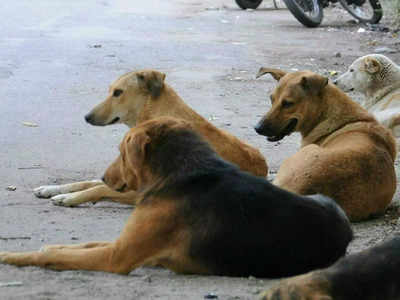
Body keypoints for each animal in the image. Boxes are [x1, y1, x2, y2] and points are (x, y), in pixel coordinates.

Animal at [0, 118, 352, 278]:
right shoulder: (123, 244)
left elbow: (50, 256)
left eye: (121, 152)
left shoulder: (117, 257)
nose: (105, 177)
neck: (183, 175)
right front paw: (47, 244)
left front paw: (12, 255)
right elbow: (75, 246)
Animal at [32, 69, 268, 207]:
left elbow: (98, 187)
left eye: (118, 92)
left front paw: (68, 198)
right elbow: (88, 182)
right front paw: (52, 189)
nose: (86, 117)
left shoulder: (140, 190)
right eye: (110, 91)